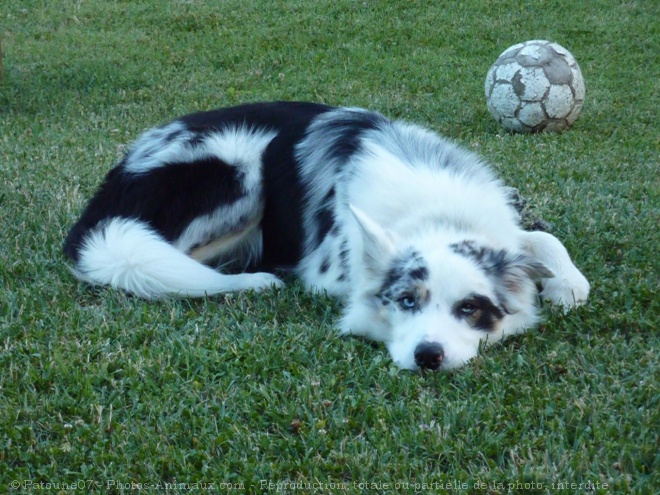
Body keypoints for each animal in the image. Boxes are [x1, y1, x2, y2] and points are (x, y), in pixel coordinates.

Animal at [63, 101, 588, 372]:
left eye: (471, 309)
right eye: (406, 301)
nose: (428, 357)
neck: (438, 213)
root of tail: (119, 175)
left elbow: (541, 240)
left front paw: (567, 282)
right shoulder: (329, 272)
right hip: (242, 167)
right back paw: (254, 281)